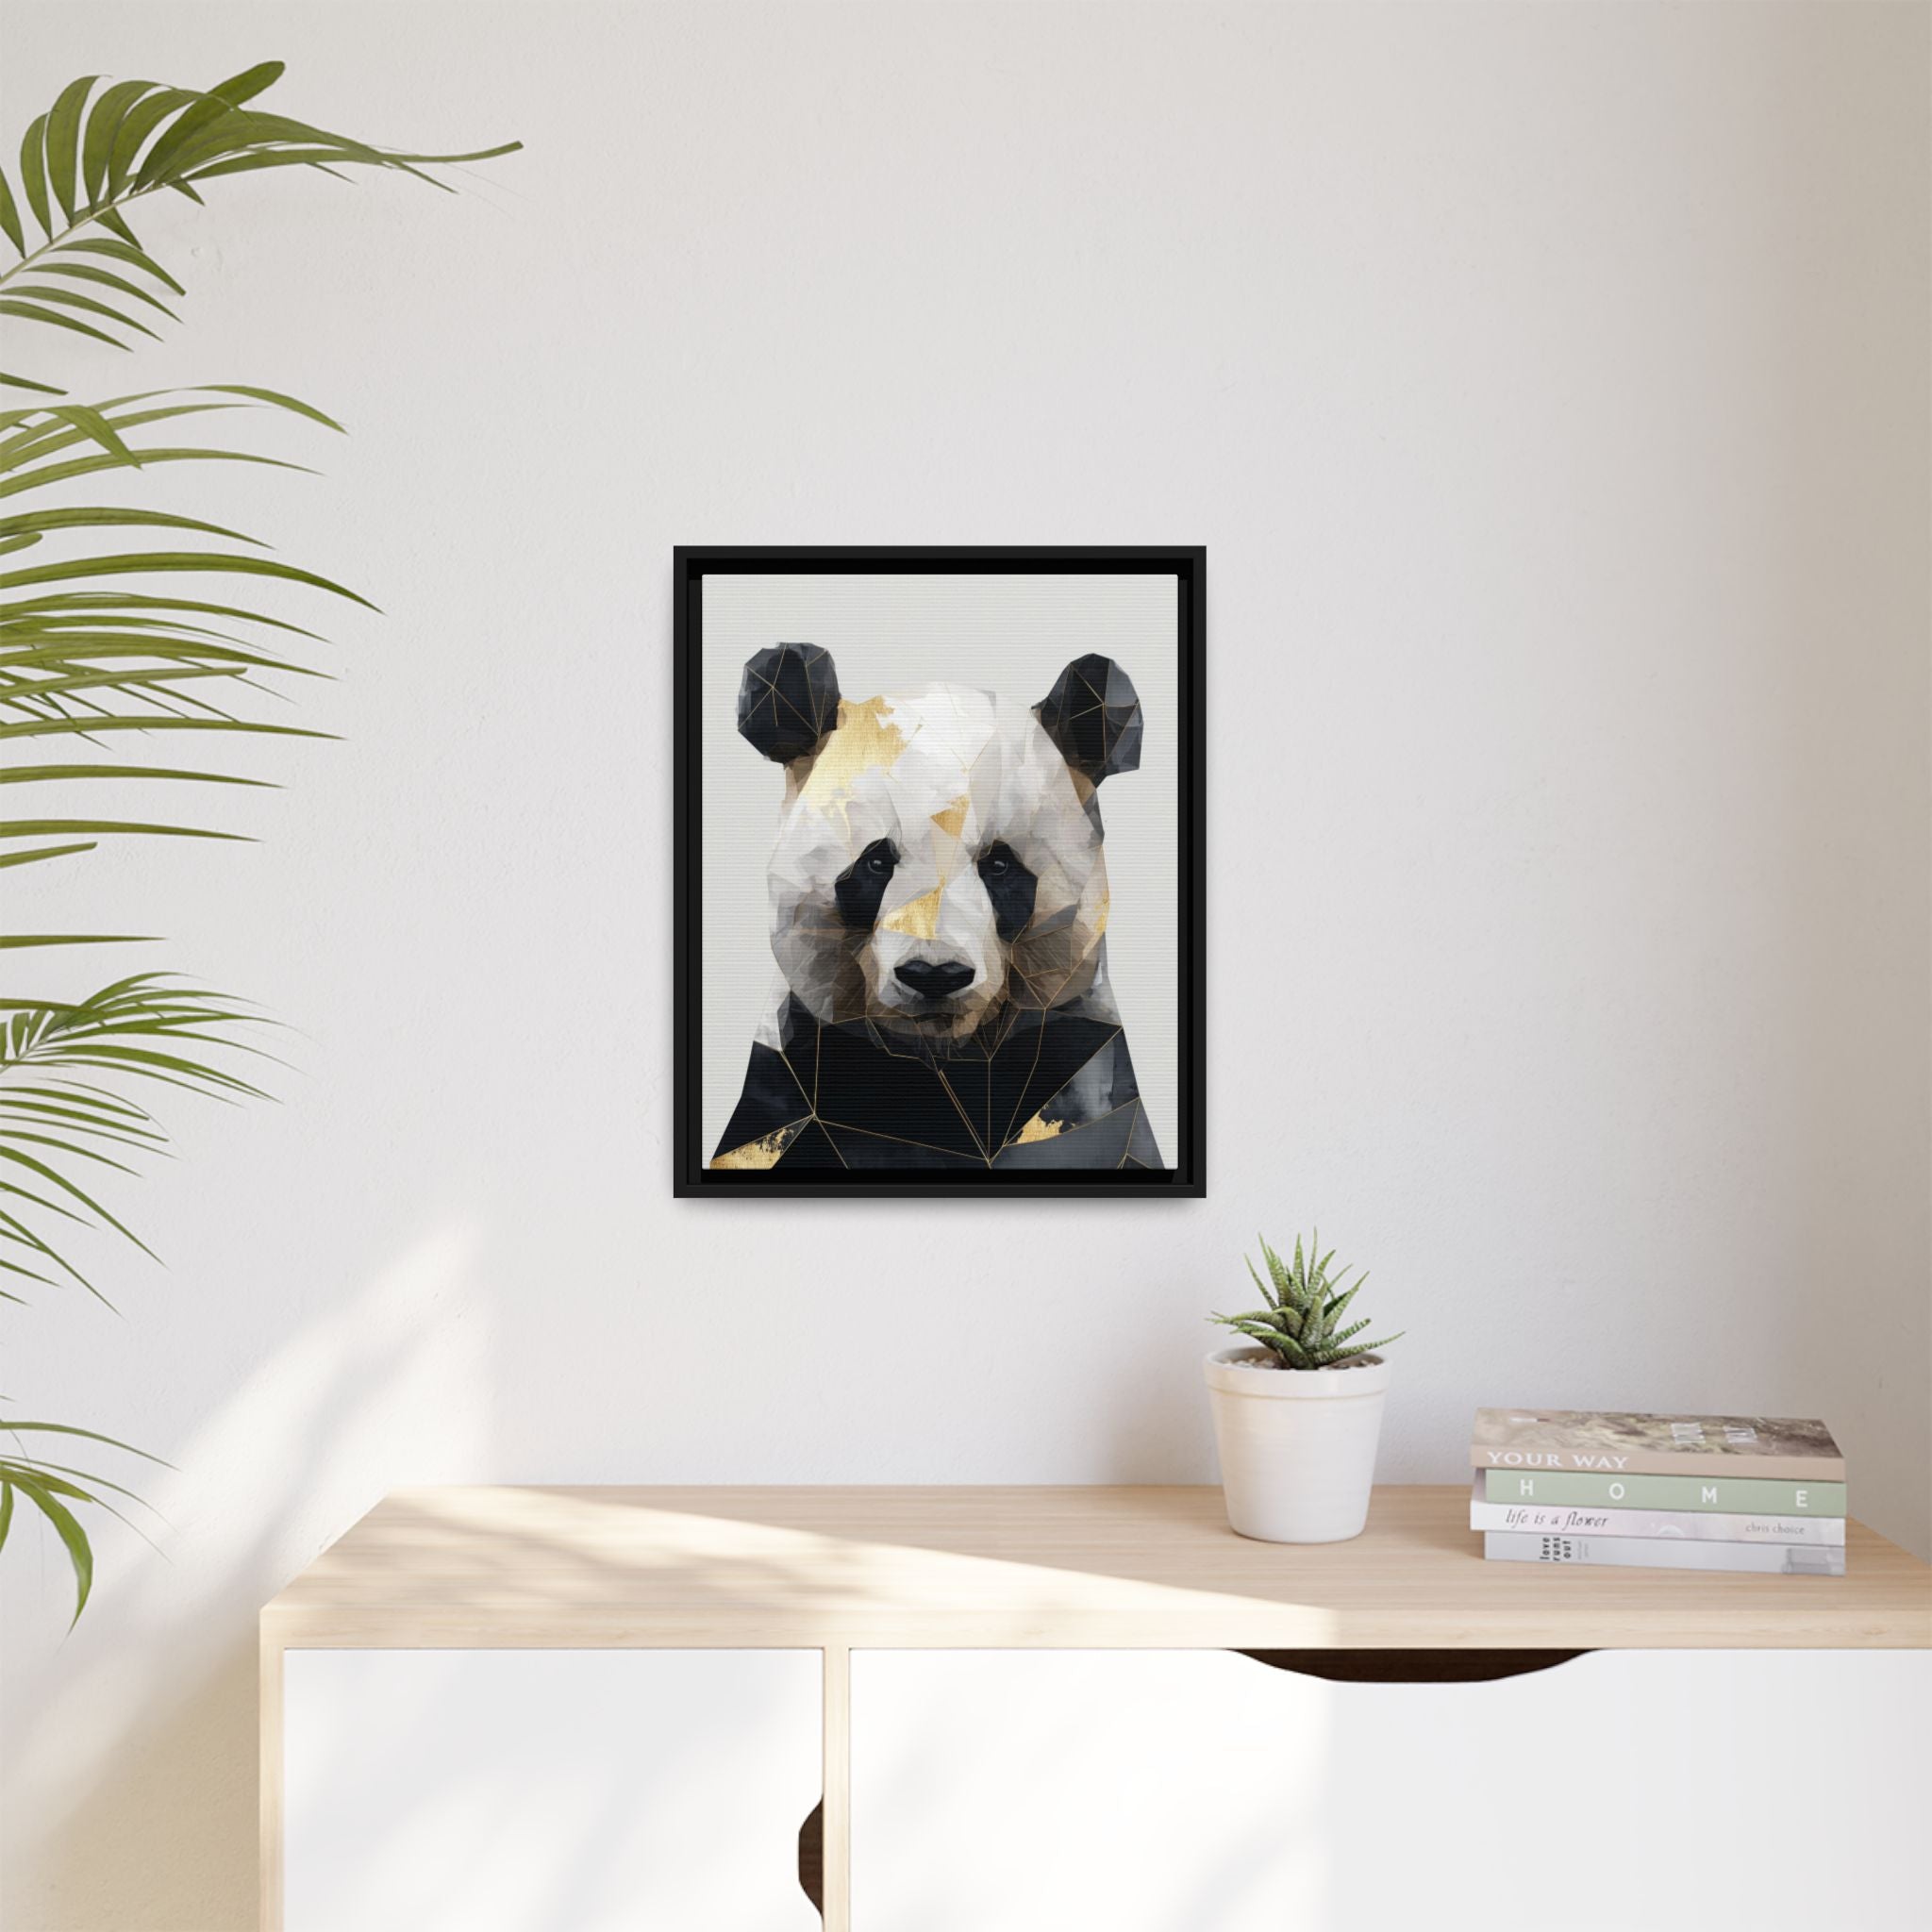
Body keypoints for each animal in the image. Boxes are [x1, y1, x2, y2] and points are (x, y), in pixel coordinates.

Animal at [711, 642, 1165, 1171]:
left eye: (999, 865)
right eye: (876, 862)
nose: (934, 976)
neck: (943, 1062)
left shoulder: (1079, 1070)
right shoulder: (794, 1081)